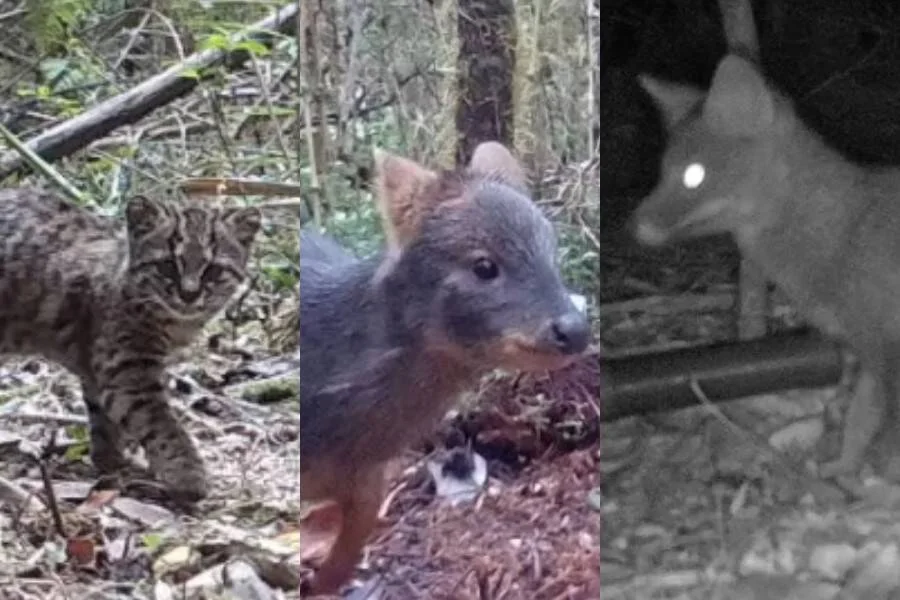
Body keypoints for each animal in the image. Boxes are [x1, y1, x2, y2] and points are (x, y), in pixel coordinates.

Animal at [630, 52, 900, 489]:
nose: (633, 226)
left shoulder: (885, 351)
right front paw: (843, 469)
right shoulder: (867, 354)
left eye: (694, 175)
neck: (843, 236)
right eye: (663, 172)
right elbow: (859, 424)